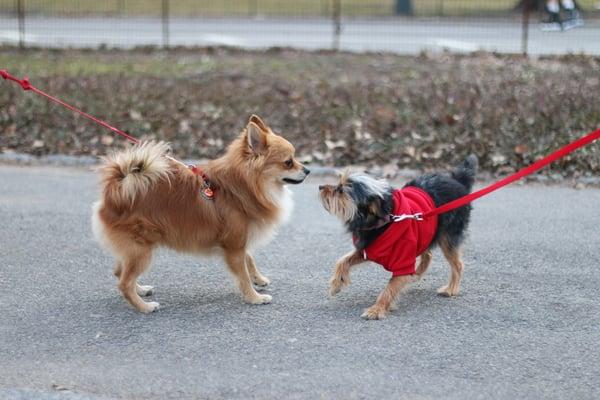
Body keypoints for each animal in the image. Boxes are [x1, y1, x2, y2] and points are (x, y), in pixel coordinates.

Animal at [92, 115, 314, 312]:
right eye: (288, 162)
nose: (308, 170)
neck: (240, 188)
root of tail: (116, 190)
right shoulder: (234, 246)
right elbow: (242, 275)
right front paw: (254, 297)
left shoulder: (238, 240)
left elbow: (249, 259)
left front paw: (258, 279)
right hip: (142, 250)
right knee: (124, 282)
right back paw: (144, 307)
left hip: (133, 250)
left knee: (120, 272)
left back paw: (141, 289)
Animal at [318, 155, 478, 320]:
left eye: (340, 190)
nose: (321, 187)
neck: (384, 220)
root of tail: (458, 181)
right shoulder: (368, 249)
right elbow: (342, 261)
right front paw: (337, 283)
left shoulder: (402, 262)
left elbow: (389, 288)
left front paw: (377, 309)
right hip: (425, 231)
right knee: (427, 254)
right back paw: (417, 274)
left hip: (447, 237)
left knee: (457, 264)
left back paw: (451, 289)